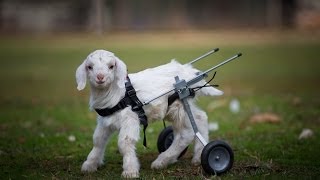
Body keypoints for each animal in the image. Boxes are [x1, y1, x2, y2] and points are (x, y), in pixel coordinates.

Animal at [76, 48, 224, 177]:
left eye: (111, 66)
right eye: (89, 67)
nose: (100, 77)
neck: (117, 94)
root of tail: (190, 73)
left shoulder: (130, 118)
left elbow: (125, 143)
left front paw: (130, 171)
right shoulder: (105, 121)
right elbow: (98, 140)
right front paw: (89, 165)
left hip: (178, 105)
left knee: (185, 134)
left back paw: (161, 161)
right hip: (180, 105)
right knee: (200, 118)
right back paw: (197, 157)